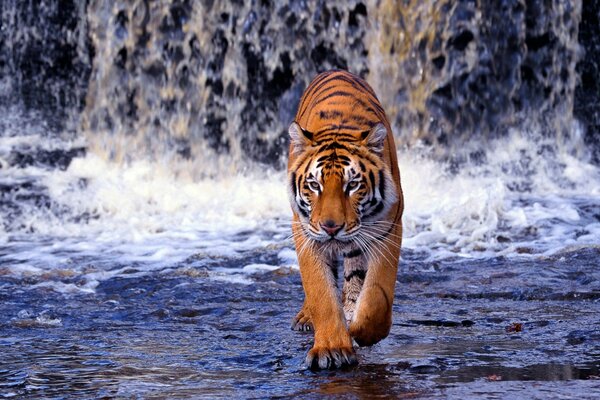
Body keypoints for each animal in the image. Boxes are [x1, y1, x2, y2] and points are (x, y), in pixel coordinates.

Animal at [288, 69, 404, 372]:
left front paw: (363, 331)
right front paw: (332, 348)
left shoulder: (387, 229)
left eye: (352, 185)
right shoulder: (306, 233)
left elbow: (377, 294)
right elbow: (321, 292)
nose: (331, 227)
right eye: (314, 185)